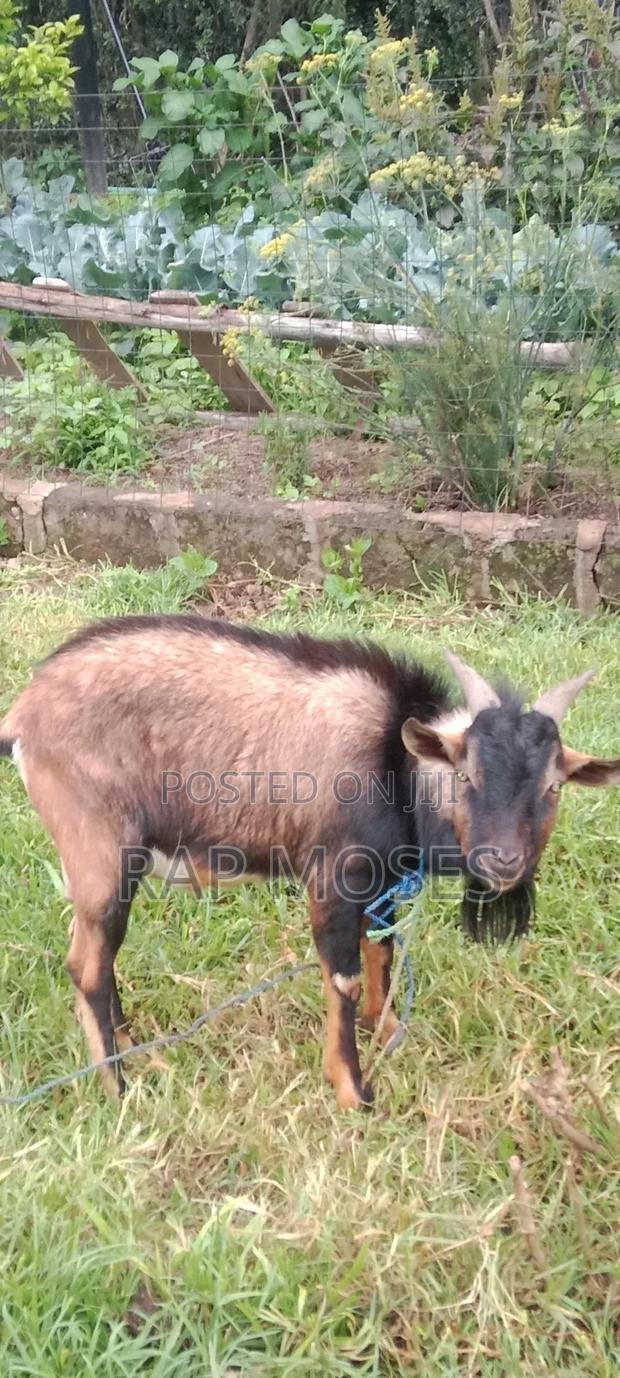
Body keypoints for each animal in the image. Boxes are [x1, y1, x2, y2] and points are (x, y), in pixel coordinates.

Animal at [1, 615, 618, 1110]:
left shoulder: (382, 884)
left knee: (95, 957)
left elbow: (381, 949)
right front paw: (354, 1092)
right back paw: (119, 1086)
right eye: (466, 774)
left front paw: (387, 1032)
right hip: (101, 850)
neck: (395, 764)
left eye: (554, 786)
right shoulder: (334, 878)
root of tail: (25, 713)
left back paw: (137, 1051)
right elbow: (344, 978)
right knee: (88, 966)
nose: (503, 862)